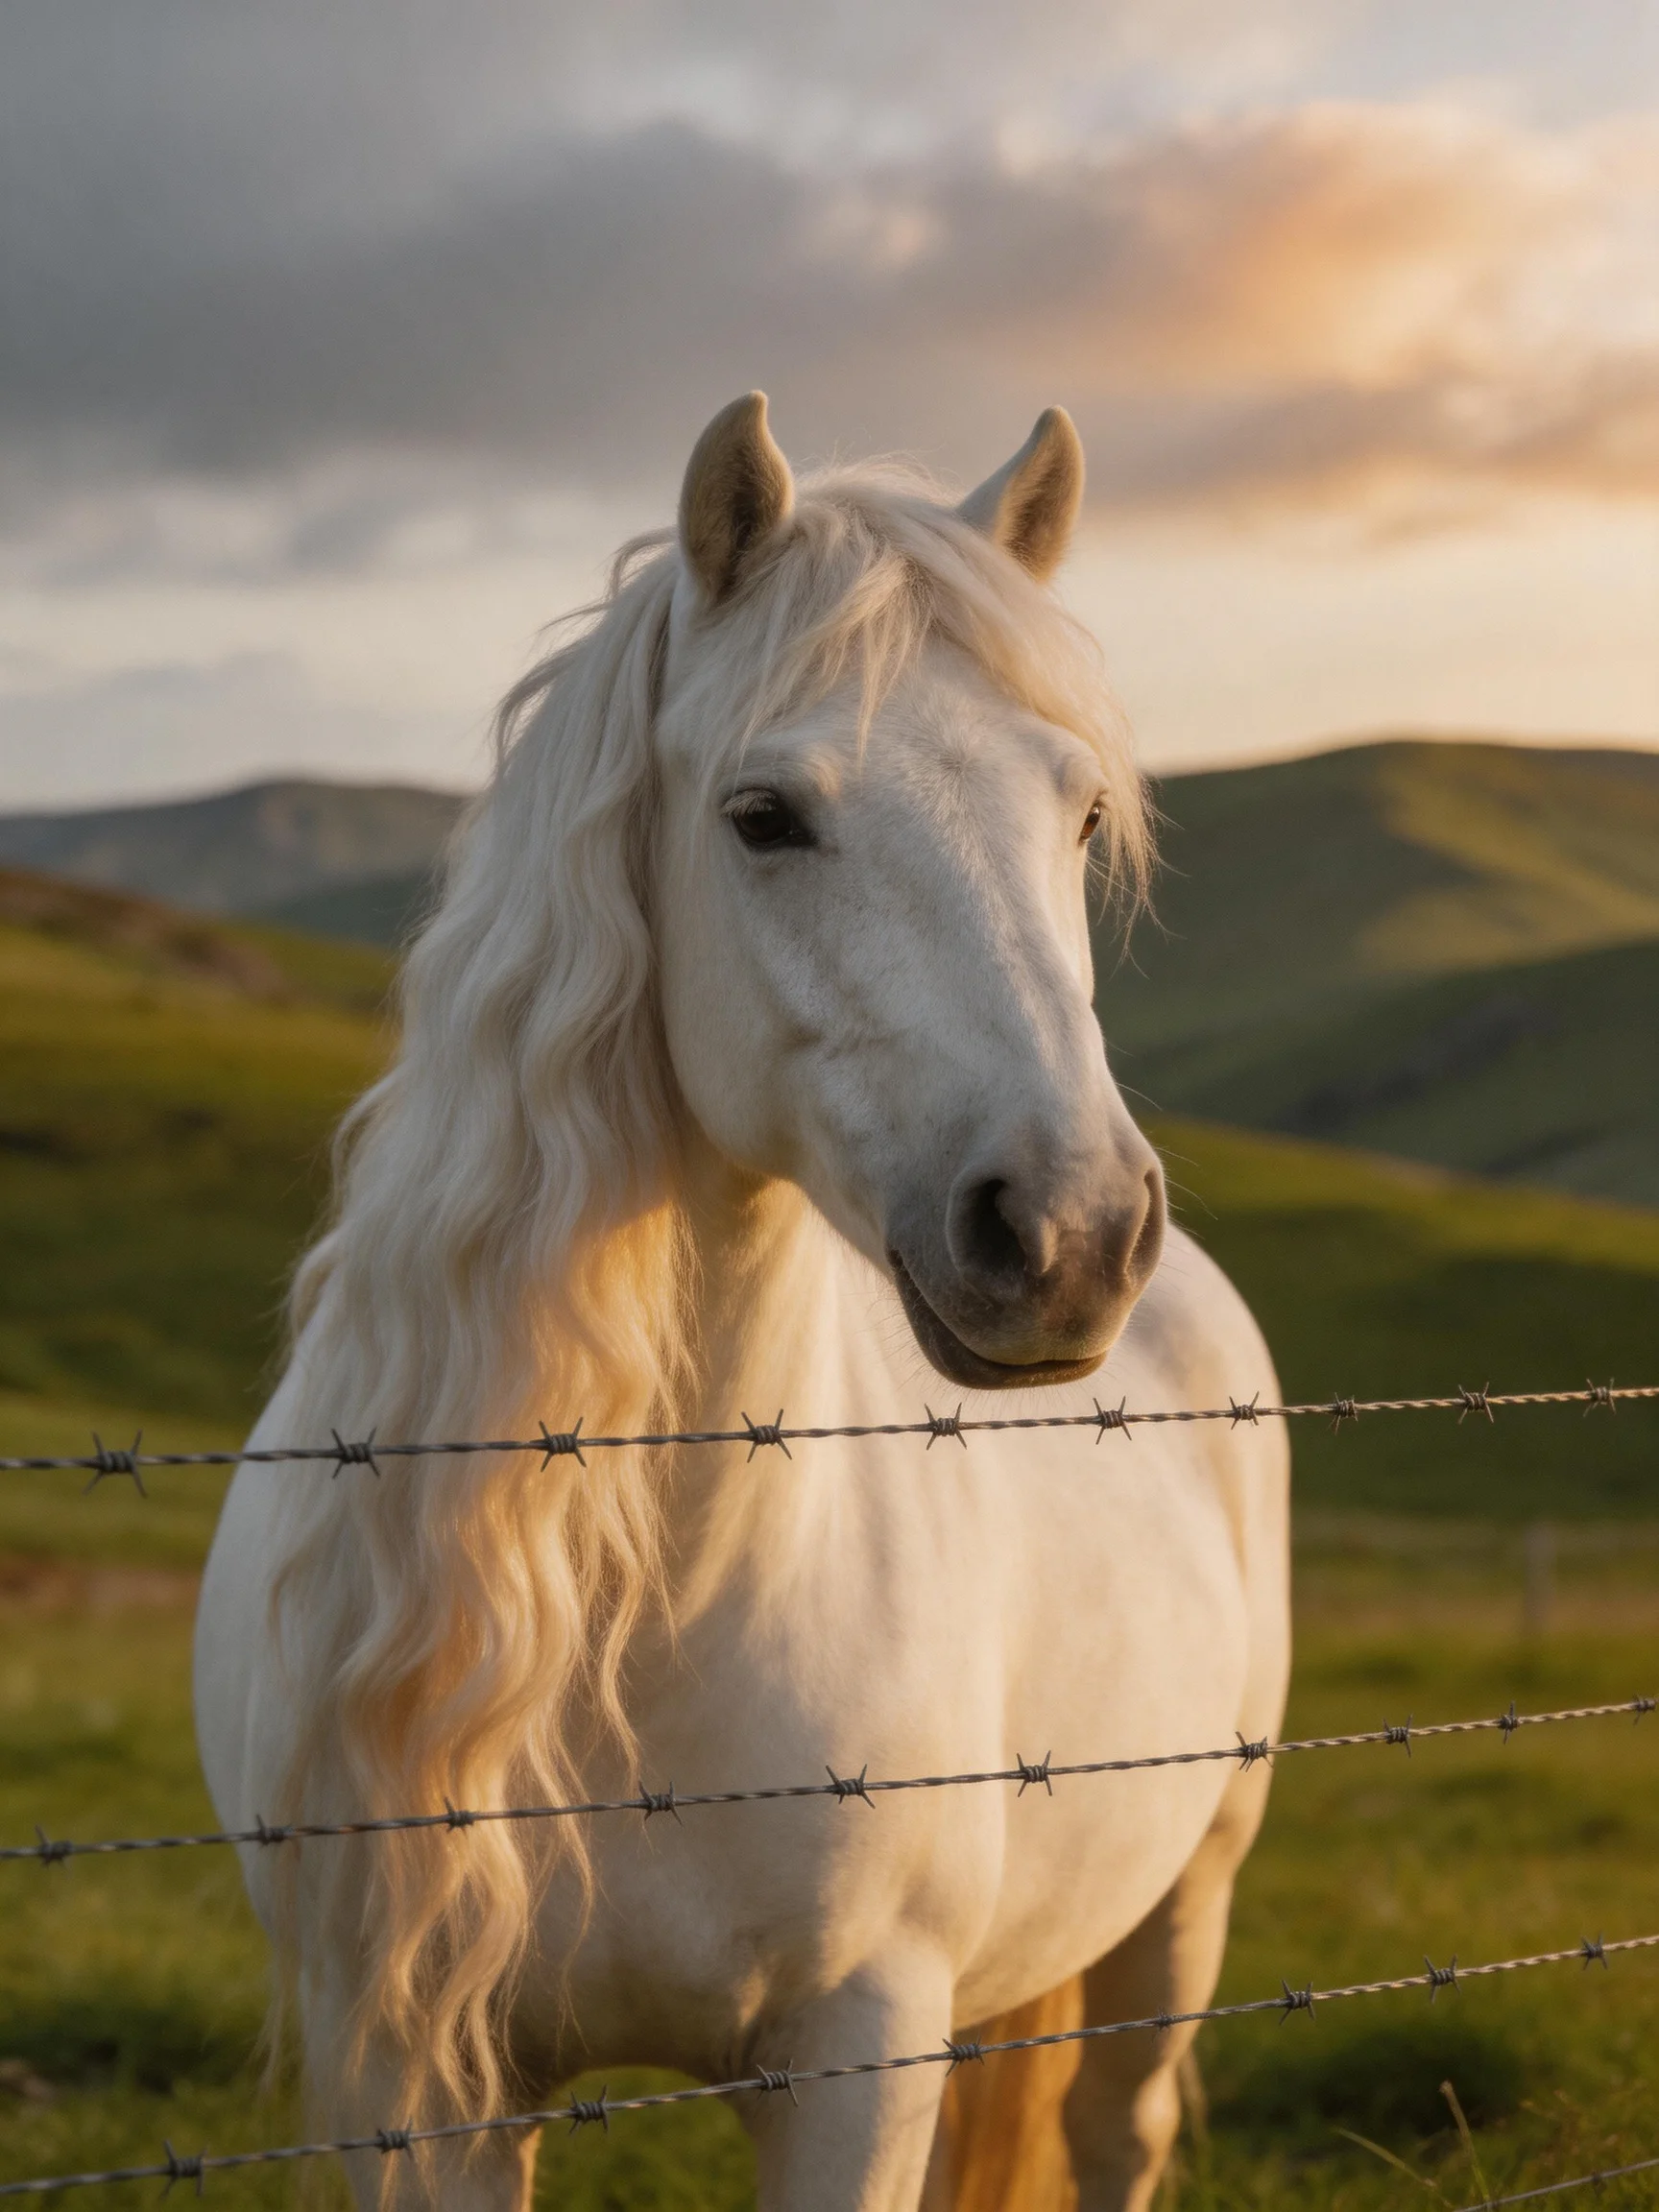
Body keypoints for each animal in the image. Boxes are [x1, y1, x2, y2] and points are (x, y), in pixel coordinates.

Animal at [194, 393, 1290, 2212]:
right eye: (764, 814)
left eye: (1078, 817)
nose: (1069, 1230)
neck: (650, 1610)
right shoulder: (416, 2071)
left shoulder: (863, 2052)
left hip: (1184, 1891)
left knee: (1115, 2126)